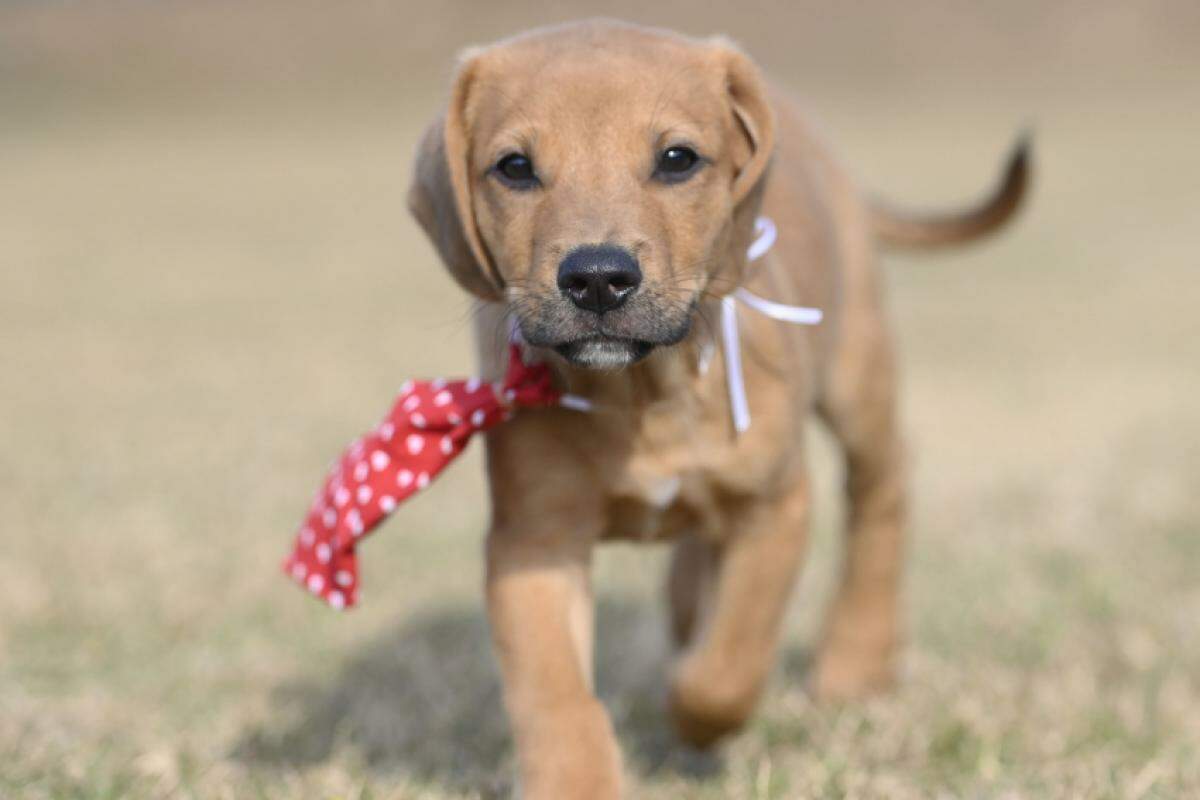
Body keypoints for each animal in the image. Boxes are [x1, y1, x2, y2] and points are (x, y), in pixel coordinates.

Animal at [408, 17, 1027, 796]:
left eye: (677, 159)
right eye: (514, 167)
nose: (598, 278)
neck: (645, 393)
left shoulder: (774, 508)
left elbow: (728, 663)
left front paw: (694, 713)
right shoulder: (534, 546)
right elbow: (555, 695)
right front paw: (578, 777)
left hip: (858, 372)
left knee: (881, 489)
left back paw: (855, 659)